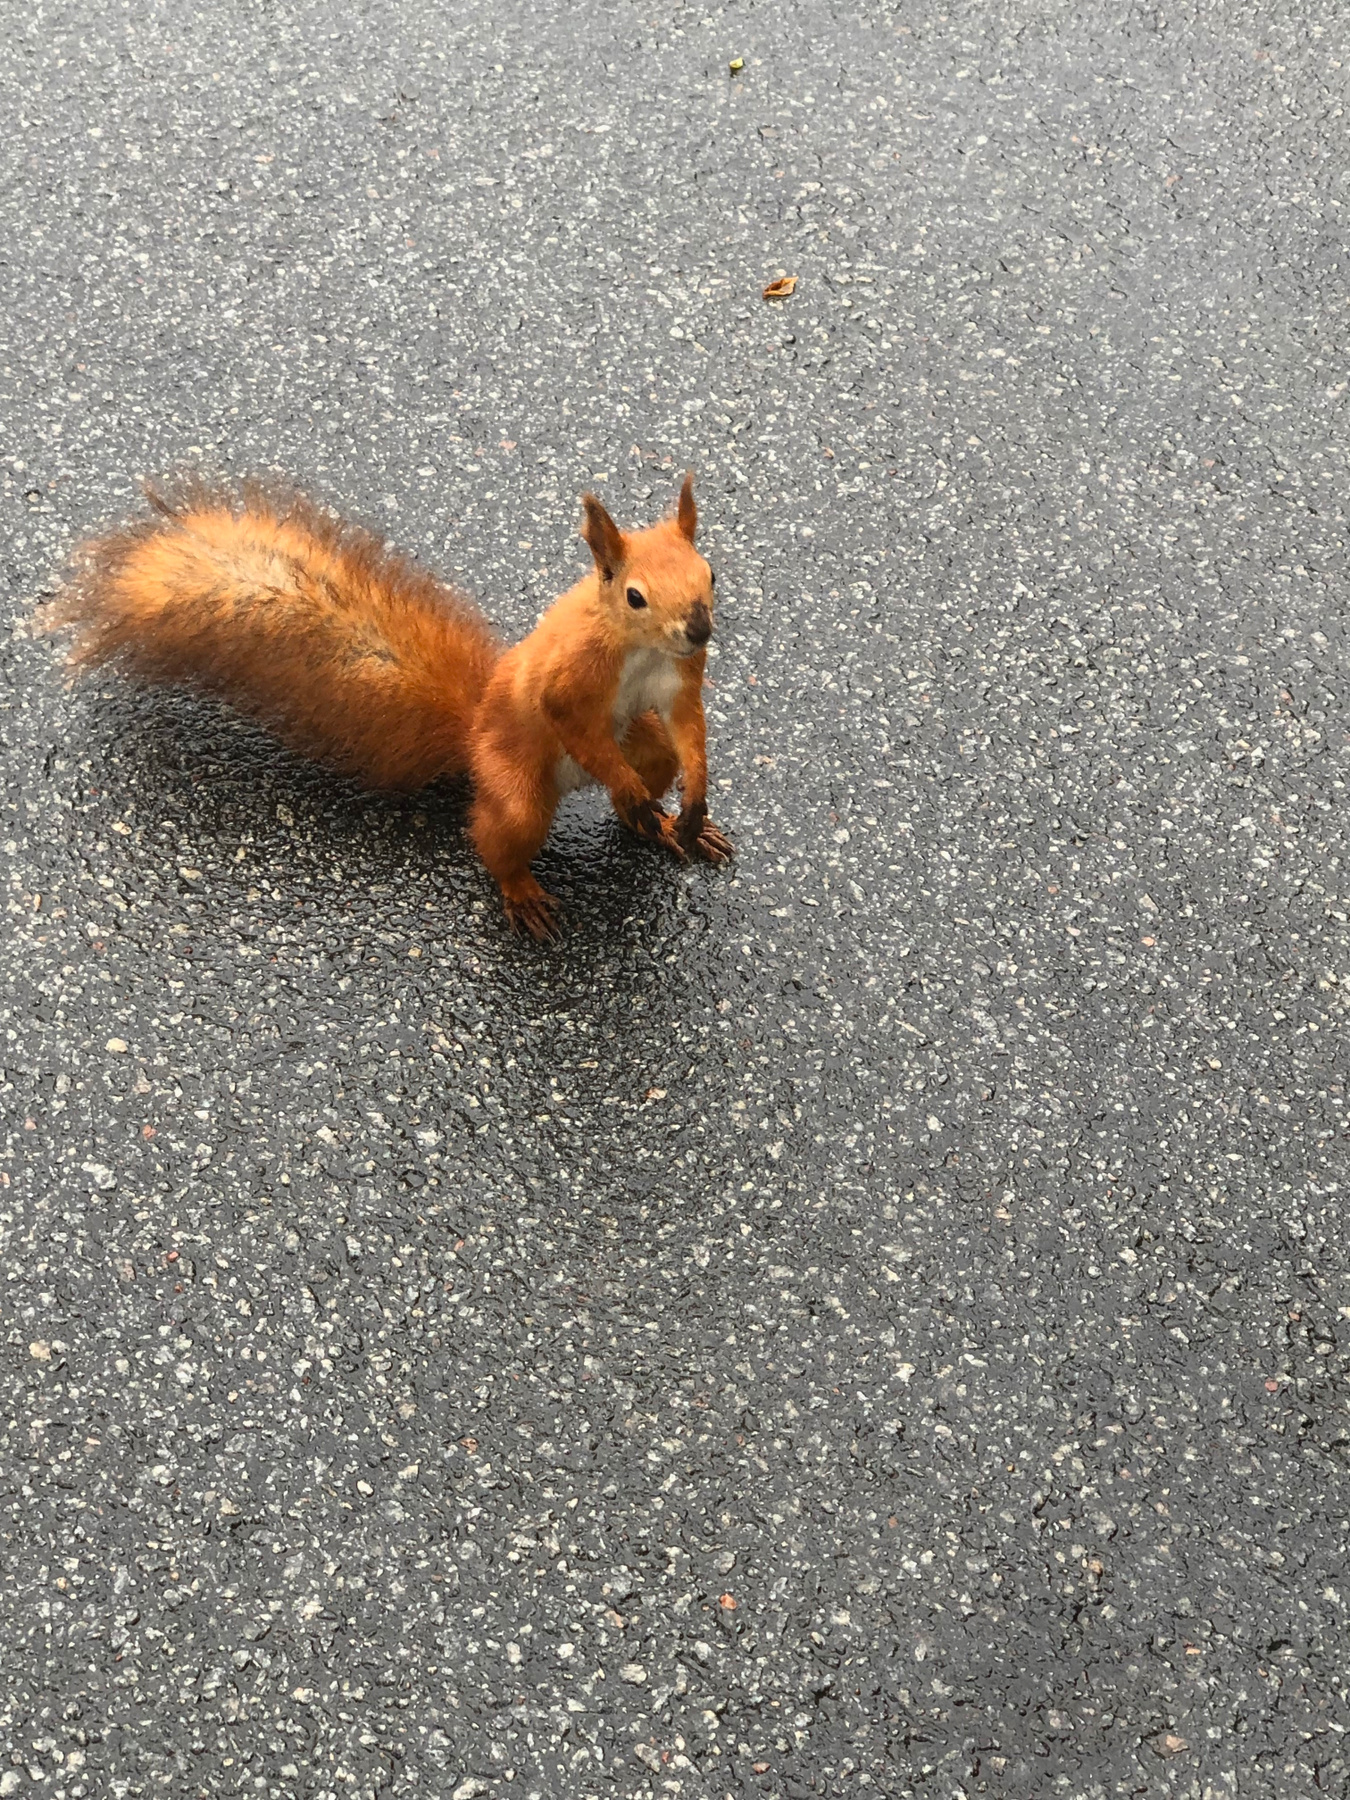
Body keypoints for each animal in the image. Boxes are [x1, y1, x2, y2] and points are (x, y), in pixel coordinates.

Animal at [45, 471, 732, 939]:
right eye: (636, 596)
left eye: (711, 574)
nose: (699, 628)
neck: (640, 649)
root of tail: (475, 728)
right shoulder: (571, 679)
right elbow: (569, 716)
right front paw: (634, 793)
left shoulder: (678, 682)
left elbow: (688, 728)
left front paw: (694, 805)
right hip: (516, 783)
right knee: (499, 834)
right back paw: (529, 884)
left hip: (638, 740)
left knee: (656, 763)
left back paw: (662, 824)